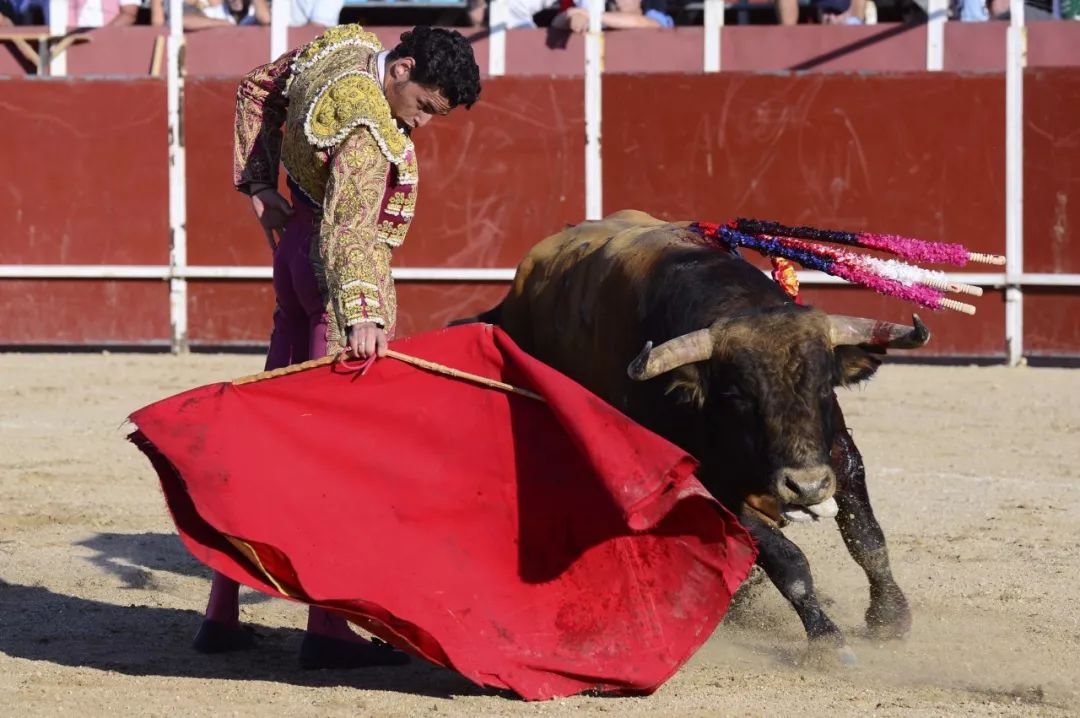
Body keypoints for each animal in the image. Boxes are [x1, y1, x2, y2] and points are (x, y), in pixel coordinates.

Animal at [451, 210, 924, 656]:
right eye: (738, 396)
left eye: (826, 386)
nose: (805, 486)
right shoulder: (711, 487)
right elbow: (789, 562)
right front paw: (827, 642)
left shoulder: (839, 455)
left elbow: (867, 538)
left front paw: (889, 616)